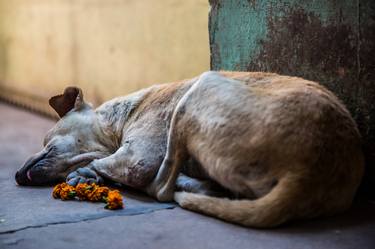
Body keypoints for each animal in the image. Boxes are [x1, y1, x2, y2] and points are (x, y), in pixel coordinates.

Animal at [16, 70, 366, 228]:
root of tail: (307, 172)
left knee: (160, 188)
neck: (119, 119)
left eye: (48, 143)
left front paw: (86, 174)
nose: (18, 175)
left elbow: (117, 166)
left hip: (204, 86)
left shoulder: (137, 158)